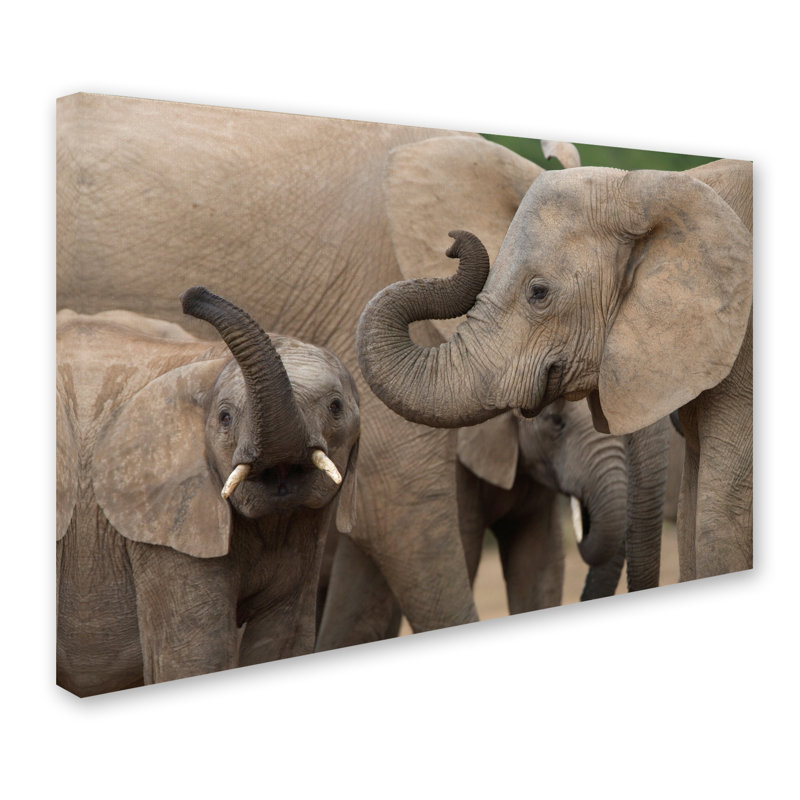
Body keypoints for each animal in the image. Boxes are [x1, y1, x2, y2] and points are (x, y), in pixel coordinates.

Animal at [56, 288, 360, 696]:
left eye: (335, 407)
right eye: (225, 418)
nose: (192, 295)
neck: (212, 360)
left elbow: (283, 641)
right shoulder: (161, 527)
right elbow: (196, 657)